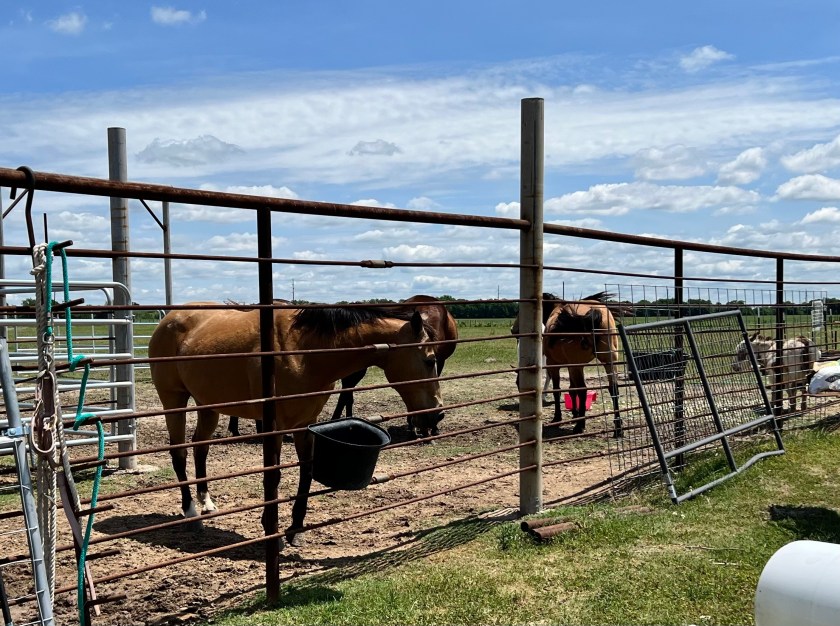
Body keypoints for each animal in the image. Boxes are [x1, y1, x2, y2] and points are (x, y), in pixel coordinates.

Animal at [148, 303, 444, 546]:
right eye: (429, 360)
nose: (438, 414)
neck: (305, 352)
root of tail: (169, 320)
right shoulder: (275, 428)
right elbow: (274, 476)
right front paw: (272, 531)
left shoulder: (305, 425)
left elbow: (307, 472)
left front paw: (296, 529)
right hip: (174, 402)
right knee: (179, 453)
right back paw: (191, 512)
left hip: (208, 405)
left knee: (200, 447)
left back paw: (206, 502)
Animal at [541, 291, 627, 438]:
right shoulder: (571, 366)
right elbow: (572, 389)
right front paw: (574, 413)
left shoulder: (554, 364)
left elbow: (558, 390)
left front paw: (558, 417)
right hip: (609, 361)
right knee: (613, 388)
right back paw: (618, 428)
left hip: (578, 365)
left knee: (583, 390)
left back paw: (580, 426)